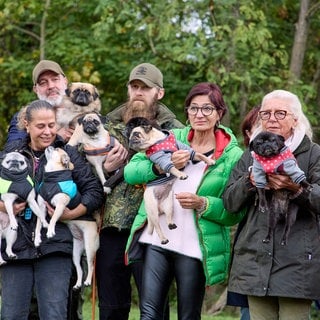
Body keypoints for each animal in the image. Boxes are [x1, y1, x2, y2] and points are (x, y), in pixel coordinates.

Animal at [36, 148, 99, 290]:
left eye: (56, 149)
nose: (50, 146)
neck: (52, 178)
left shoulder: (60, 206)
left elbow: (53, 218)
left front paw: (50, 231)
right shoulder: (41, 207)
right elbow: (38, 224)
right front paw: (37, 239)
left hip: (89, 247)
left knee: (91, 265)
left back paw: (87, 281)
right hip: (75, 253)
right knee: (79, 269)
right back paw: (77, 284)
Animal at [125, 117, 215, 245]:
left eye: (136, 134)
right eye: (131, 135)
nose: (130, 140)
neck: (159, 141)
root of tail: (159, 207)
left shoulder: (186, 150)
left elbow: (199, 154)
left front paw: (209, 160)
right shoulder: (162, 159)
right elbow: (172, 167)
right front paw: (181, 174)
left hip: (169, 204)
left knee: (168, 217)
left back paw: (171, 224)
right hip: (153, 211)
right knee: (158, 227)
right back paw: (163, 239)